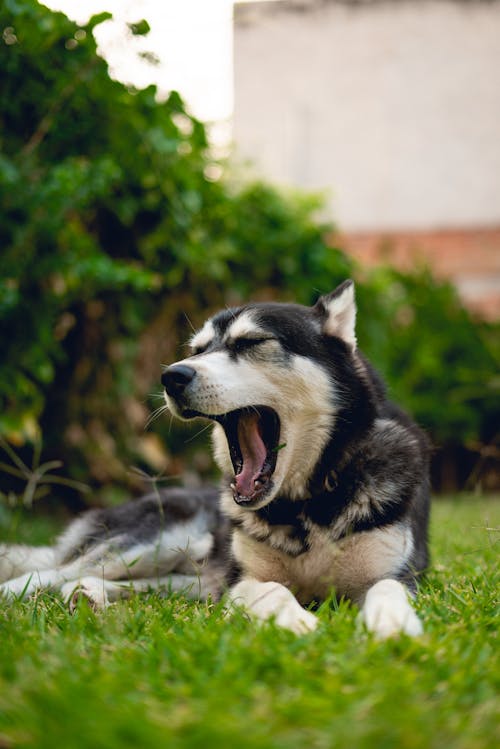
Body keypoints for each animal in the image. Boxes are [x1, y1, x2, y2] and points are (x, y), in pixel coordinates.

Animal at [0, 280, 430, 636]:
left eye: (251, 342)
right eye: (197, 350)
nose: (171, 376)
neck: (305, 504)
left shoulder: (397, 574)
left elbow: (389, 588)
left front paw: (391, 623)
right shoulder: (239, 582)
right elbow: (272, 590)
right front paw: (297, 621)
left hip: (189, 574)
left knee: (129, 584)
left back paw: (89, 594)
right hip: (157, 541)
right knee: (48, 571)